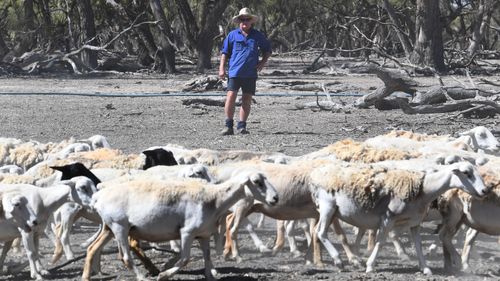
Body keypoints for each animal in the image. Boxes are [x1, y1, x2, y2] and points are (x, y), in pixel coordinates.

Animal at [80, 168, 280, 280]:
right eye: (257, 182)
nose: (275, 198)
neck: (215, 199)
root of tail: (98, 196)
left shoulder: (203, 234)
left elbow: (207, 258)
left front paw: (211, 275)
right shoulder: (187, 232)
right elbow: (185, 259)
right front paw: (164, 275)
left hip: (109, 228)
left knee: (92, 248)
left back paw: (86, 276)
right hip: (119, 227)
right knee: (126, 257)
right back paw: (143, 277)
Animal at [308, 160, 488, 274]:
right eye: (466, 173)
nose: (485, 191)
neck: (423, 189)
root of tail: (317, 174)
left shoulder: (415, 223)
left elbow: (418, 245)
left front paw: (425, 268)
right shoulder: (388, 219)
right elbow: (380, 242)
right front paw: (370, 266)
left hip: (331, 211)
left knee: (317, 231)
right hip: (327, 206)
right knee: (321, 232)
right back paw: (338, 260)